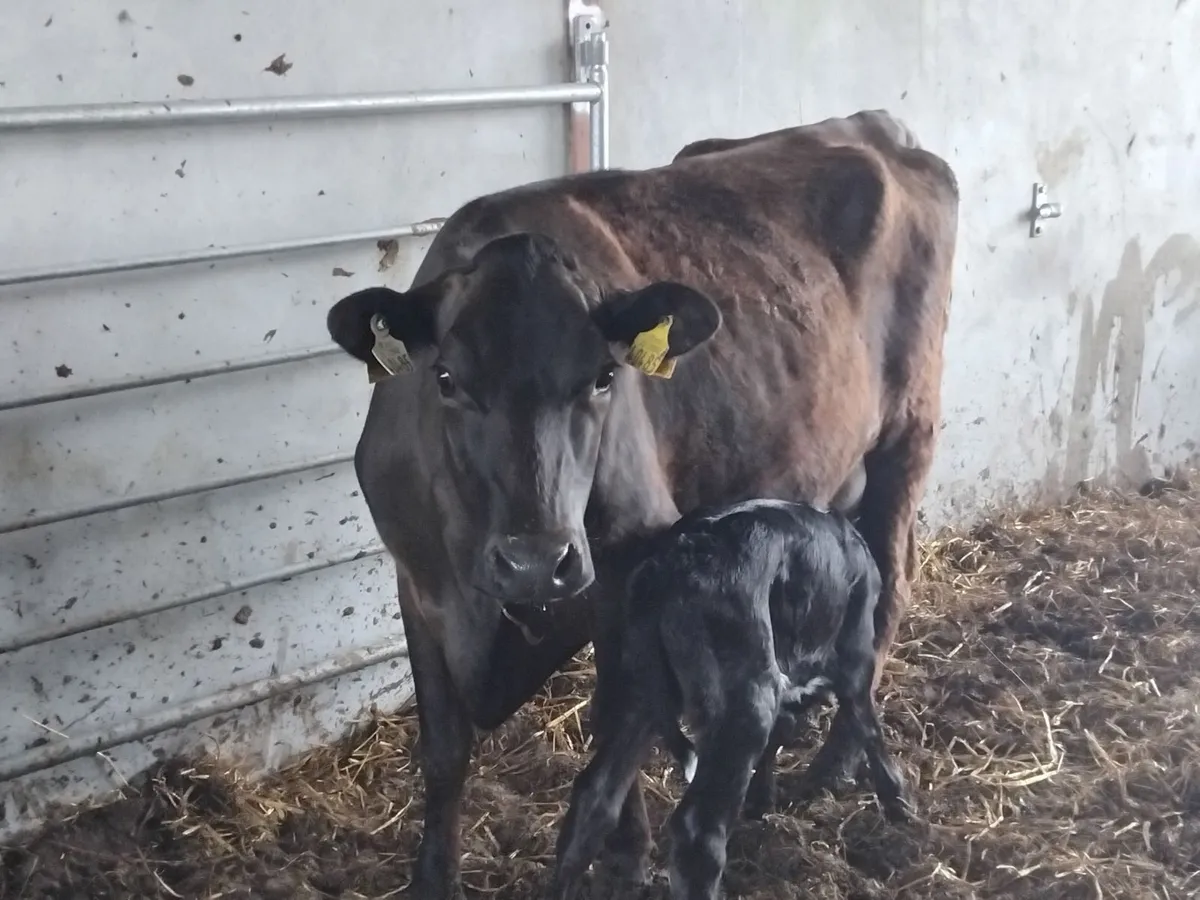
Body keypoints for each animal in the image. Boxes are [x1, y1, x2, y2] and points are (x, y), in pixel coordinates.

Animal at [548, 497, 911, 900]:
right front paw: (899, 804)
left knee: (596, 797)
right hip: (745, 700)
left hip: (638, 690)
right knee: (699, 833)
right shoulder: (856, 654)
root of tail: (669, 567)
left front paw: (762, 797)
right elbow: (867, 722)